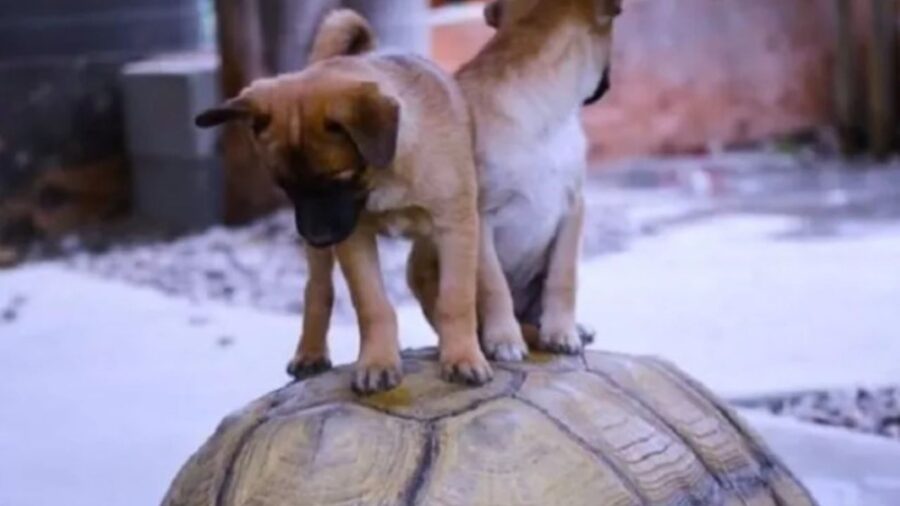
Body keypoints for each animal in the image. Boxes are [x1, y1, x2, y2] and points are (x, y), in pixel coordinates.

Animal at [197, 9, 492, 394]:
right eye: (285, 187)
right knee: (317, 290)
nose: (317, 236)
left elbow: (456, 298)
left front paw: (462, 357)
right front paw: (378, 361)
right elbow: (372, 304)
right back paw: (310, 352)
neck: (384, 175)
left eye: (339, 179)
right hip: (323, 257)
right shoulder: (354, 237)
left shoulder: (455, 227)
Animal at [412, 0, 624, 360]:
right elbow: (494, 286)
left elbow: (563, 277)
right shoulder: (478, 217)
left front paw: (562, 331)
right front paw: (504, 338)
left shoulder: (573, 208)